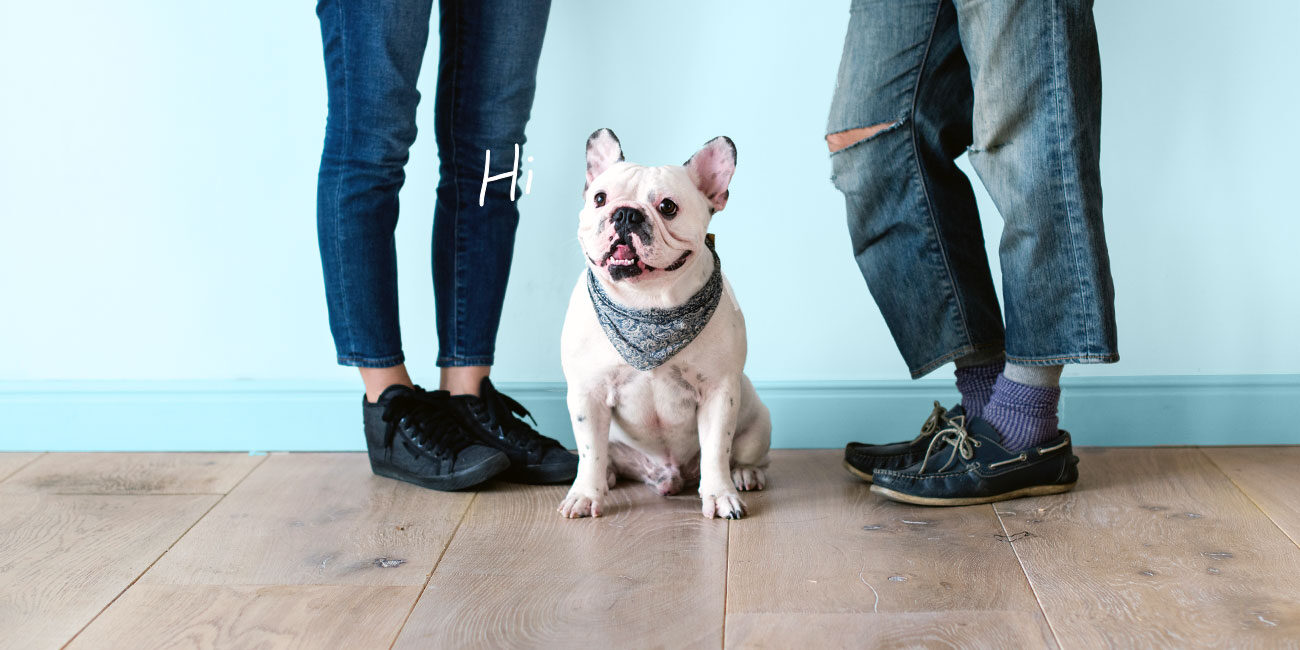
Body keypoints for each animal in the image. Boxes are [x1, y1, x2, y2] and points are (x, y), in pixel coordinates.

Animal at [558, 128, 771, 520]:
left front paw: (720, 495)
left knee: (746, 454)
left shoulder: (719, 392)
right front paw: (585, 494)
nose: (625, 214)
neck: (646, 303)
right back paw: (607, 476)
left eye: (668, 207)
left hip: (757, 421)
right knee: (603, 456)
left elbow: (717, 449)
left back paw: (746, 474)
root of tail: (667, 475)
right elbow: (590, 452)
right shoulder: (587, 393)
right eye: (599, 198)